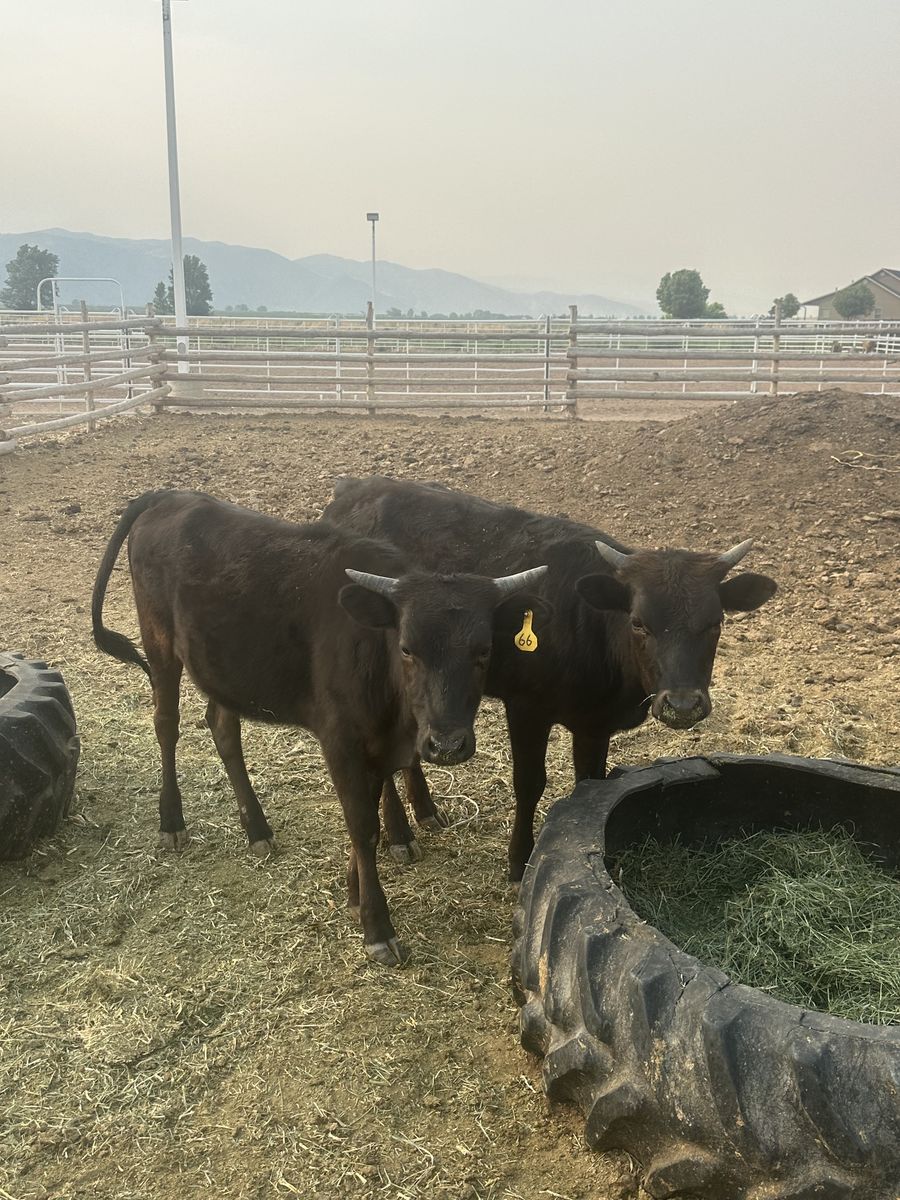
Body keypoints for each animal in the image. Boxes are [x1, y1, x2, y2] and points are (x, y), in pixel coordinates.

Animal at [91, 490, 546, 965]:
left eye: (484, 651)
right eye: (407, 648)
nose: (448, 745)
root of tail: (173, 495)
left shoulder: (376, 746)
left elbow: (367, 813)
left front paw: (353, 894)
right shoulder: (340, 740)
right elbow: (362, 826)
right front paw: (376, 925)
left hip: (223, 670)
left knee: (222, 728)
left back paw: (257, 828)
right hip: (158, 642)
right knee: (166, 724)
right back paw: (172, 821)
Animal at [323, 476, 778, 881]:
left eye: (715, 622)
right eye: (638, 623)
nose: (682, 705)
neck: (588, 626)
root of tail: (354, 489)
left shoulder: (594, 723)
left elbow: (590, 783)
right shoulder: (527, 708)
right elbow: (529, 784)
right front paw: (518, 862)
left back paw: (426, 810)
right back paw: (400, 833)